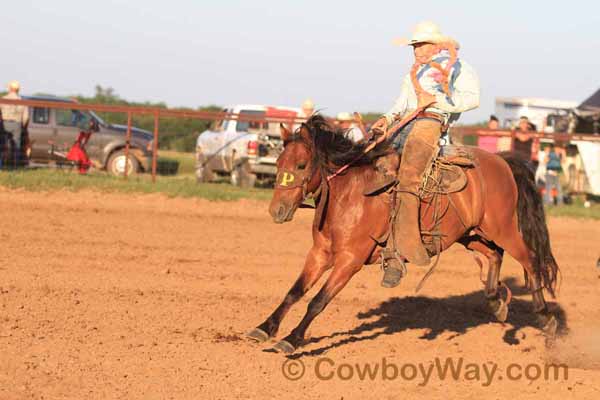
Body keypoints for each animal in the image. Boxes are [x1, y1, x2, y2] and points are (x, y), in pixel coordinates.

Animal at [247, 115, 556, 354]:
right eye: (278, 163)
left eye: (301, 165)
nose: (277, 210)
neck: (349, 195)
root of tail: (502, 162)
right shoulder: (320, 254)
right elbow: (294, 292)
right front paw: (264, 328)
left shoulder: (350, 260)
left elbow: (317, 301)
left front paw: (292, 339)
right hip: (472, 234)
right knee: (494, 255)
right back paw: (496, 303)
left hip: (502, 229)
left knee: (530, 260)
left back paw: (546, 320)